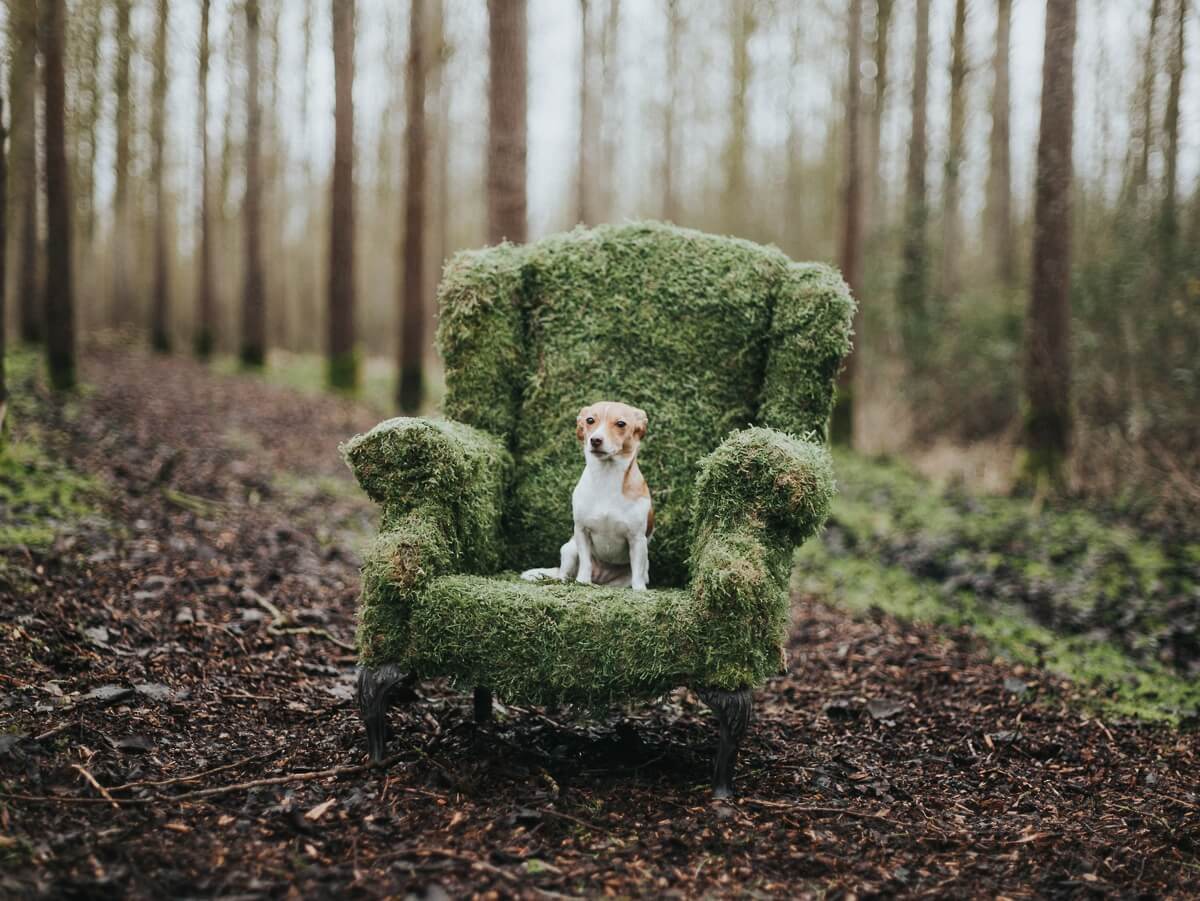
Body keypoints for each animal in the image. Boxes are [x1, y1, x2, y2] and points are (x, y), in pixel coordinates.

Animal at [520, 400, 657, 592]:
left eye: (621, 423)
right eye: (590, 420)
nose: (595, 440)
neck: (606, 476)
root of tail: (600, 578)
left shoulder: (637, 539)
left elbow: (637, 570)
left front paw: (639, 591)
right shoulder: (582, 532)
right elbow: (585, 562)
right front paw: (583, 582)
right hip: (569, 549)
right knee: (564, 574)